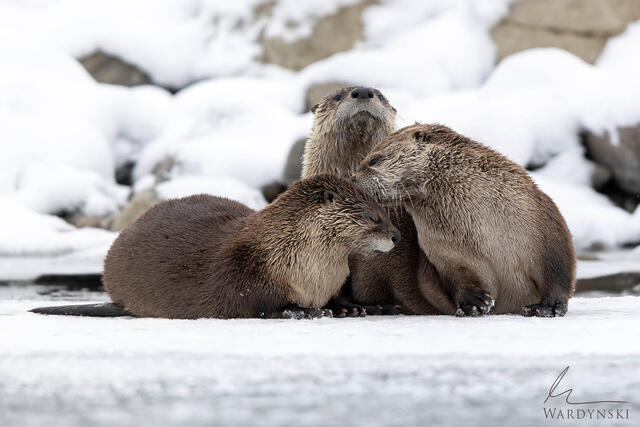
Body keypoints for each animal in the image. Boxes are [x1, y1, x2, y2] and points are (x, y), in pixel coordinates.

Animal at [31, 175, 399, 319]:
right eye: (374, 216)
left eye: (385, 212)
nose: (396, 236)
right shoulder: (245, 272)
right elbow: (260, 302)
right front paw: (305, 310)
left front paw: (349, 306)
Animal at [352, 124, 576, 317]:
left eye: (374, 160)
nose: (353, 178)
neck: (483, 229)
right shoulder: (445, 253)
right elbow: (456, 279)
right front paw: (474, 302)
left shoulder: (543, 224)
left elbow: (558, 271)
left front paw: (547, 307)